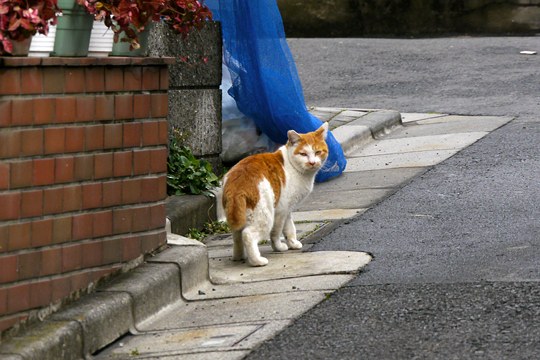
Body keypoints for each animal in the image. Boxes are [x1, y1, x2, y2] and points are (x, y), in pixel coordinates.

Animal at [220, 122, 330, 266]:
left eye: (318, 152)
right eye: (303, 154)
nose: (312, 162)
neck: (292, 165)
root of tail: (238, 183)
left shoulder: (288, 209)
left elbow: (290, 228)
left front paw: (292, 243)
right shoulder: (281, 210)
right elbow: (277, 232)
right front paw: (279, 247)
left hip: (238, 215)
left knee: (237, 235)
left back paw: (239, 256)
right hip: (265, 216)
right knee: (248, 235)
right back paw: (257, 261)